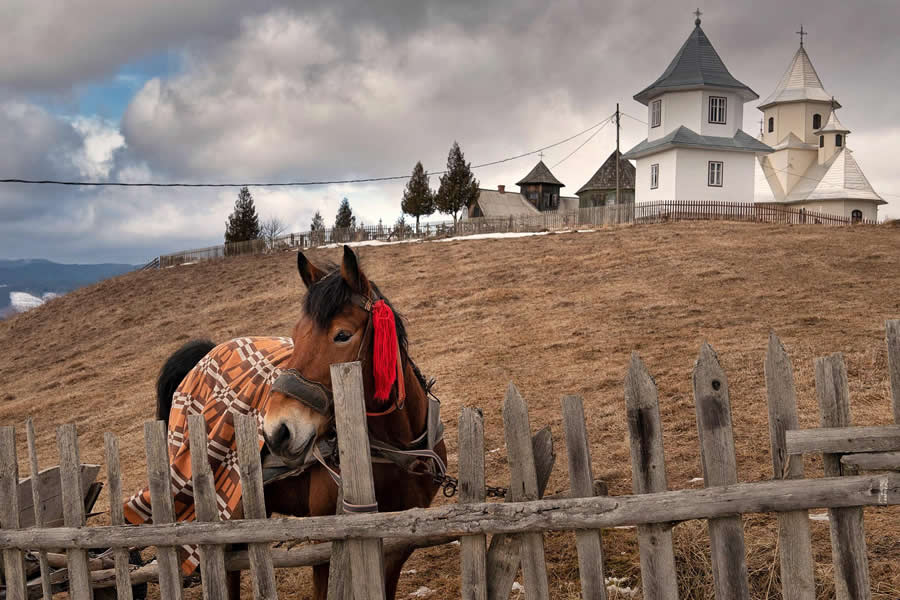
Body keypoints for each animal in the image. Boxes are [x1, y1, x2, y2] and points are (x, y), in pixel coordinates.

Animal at [156, 246, 450, 596]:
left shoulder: (397, 546)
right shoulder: (326, 544)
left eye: (342, 335)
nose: (277, 432)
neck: (394, 451)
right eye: (296, 335)